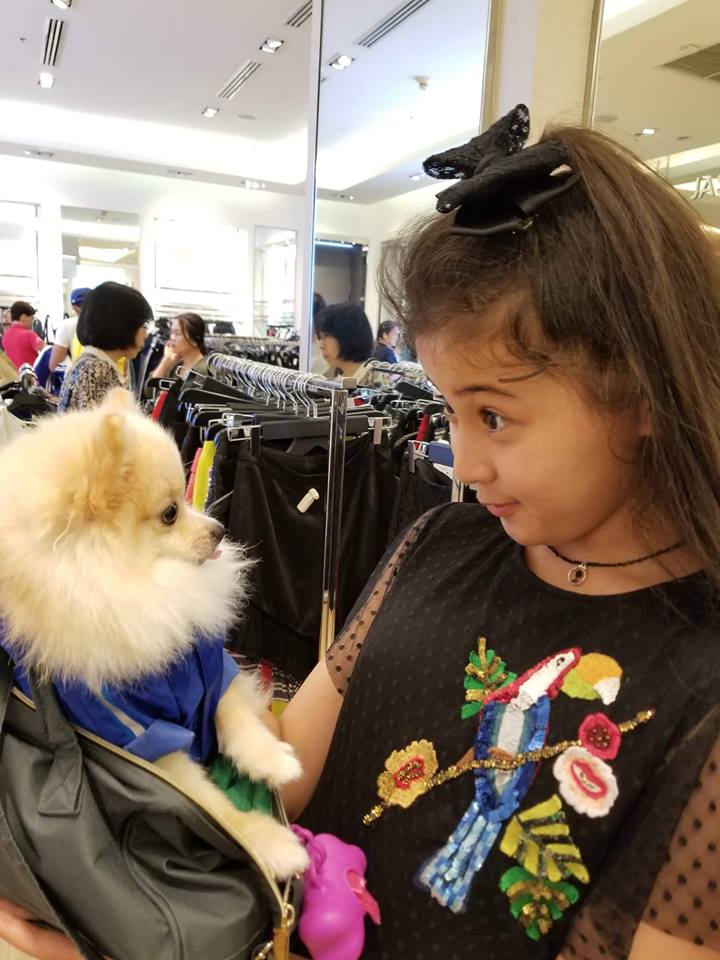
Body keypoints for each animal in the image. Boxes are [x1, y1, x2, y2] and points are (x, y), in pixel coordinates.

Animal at [0, 388, 308, 881]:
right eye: (169, 513)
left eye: (184, 497)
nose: (220, 529)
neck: (147, 590)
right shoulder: (144, 738)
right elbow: (213, 810)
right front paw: (269, 844)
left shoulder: (209, 668)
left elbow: (235, 714)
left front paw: (272, 760)